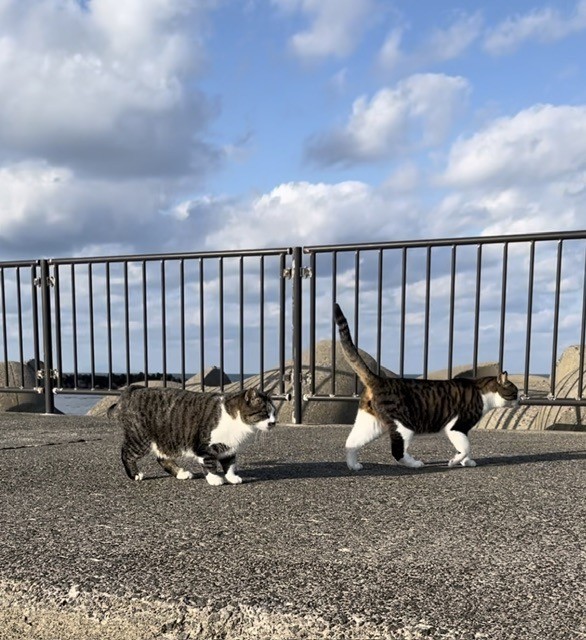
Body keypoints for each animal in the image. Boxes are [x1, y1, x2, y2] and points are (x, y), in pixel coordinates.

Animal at [112, 384, 276, 484]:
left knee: (162, 458)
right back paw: (135, 474)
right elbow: (209, 463)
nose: (274, 422)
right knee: (126, 453)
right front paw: (214, 479)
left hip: (167, 440)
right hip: (140, 439)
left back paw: (180, 473)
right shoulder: (204, 446)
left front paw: (232, 477)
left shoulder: (228, 447)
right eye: (265, 413)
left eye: (274, 413)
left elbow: (230, 464)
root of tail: (132, 392)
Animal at [334, 304, 516, 470]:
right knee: (397, 452)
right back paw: (414, 463)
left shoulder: (460, 430)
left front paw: (467, 462)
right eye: (515, 392)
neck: (482, 392)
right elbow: (465, 448)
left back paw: (353, 465)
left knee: (351, 442)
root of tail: (378, 379)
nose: (519, 400)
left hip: (370, 424)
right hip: (403, 426)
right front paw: (454, 461)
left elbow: (464, 448)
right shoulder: (456, 427)